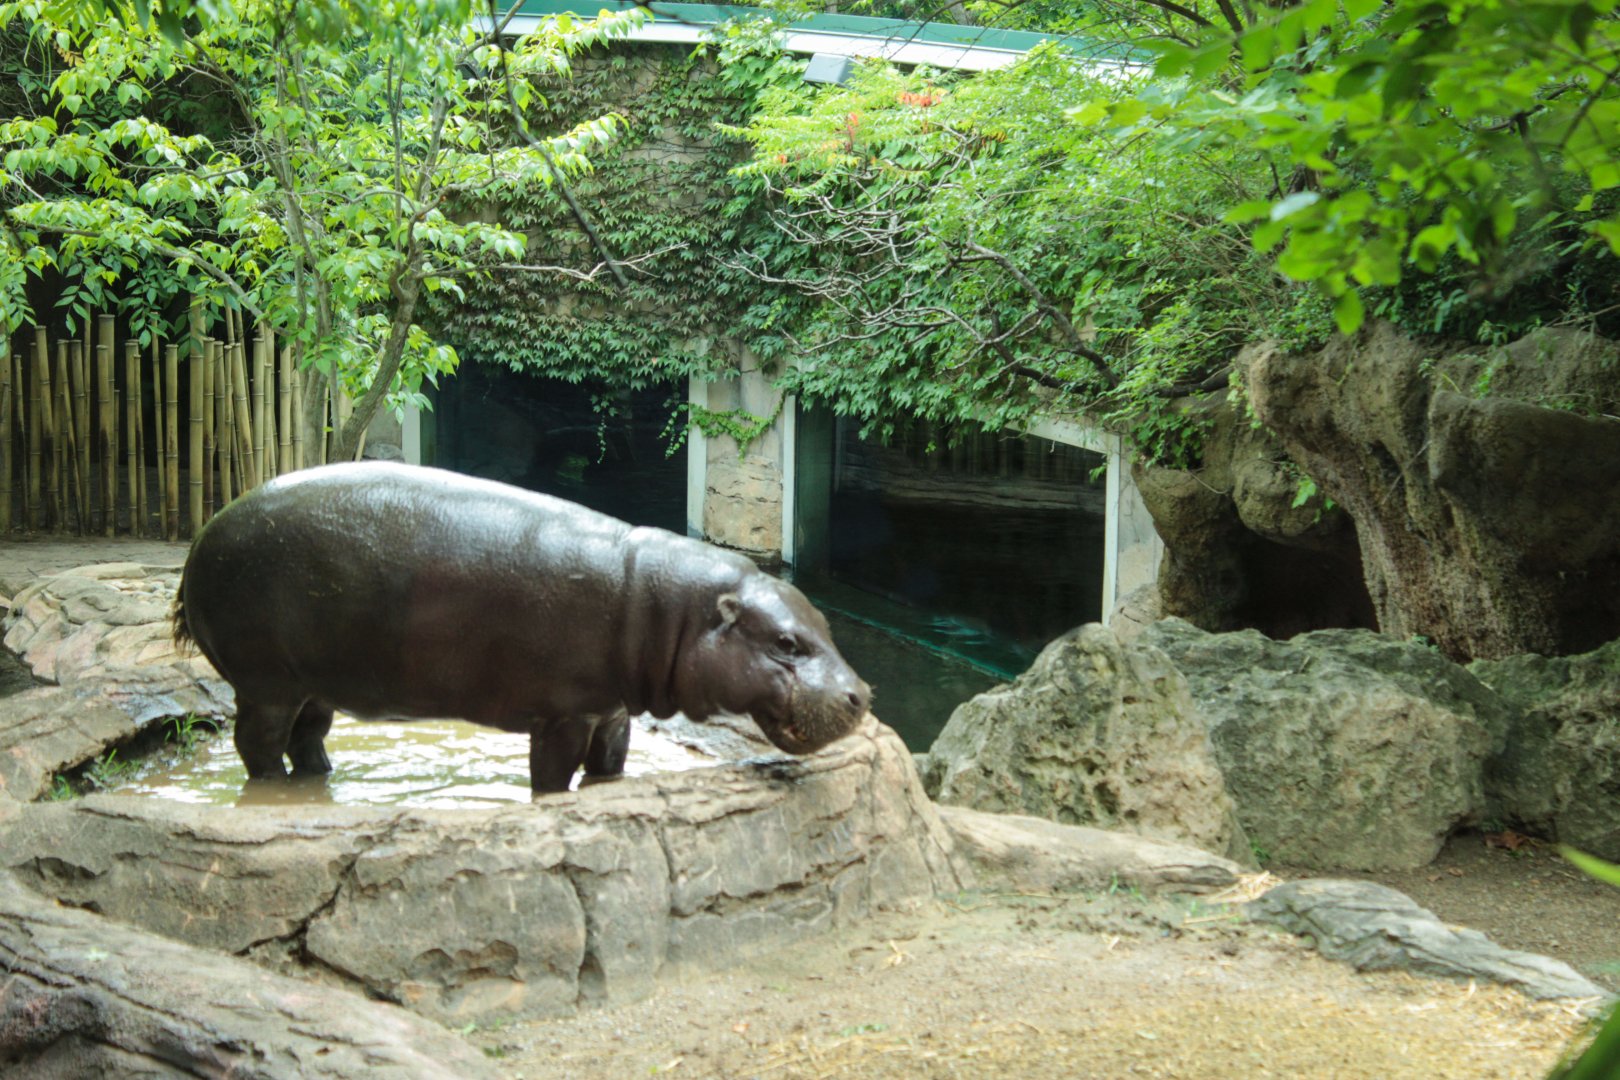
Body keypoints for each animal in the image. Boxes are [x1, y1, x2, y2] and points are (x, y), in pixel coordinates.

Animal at [173, 462, 870, 793]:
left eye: (824, 624)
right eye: (785, 643)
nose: (863, 695)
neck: (674, 608)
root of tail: (204, 535)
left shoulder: (611, 711)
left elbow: (610, 769)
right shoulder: (562, 714)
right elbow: (553, 780)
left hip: (317, 679)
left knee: (307, 737)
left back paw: (322, 779)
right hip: (265, 681)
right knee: (259, 746)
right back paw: (275, 790)